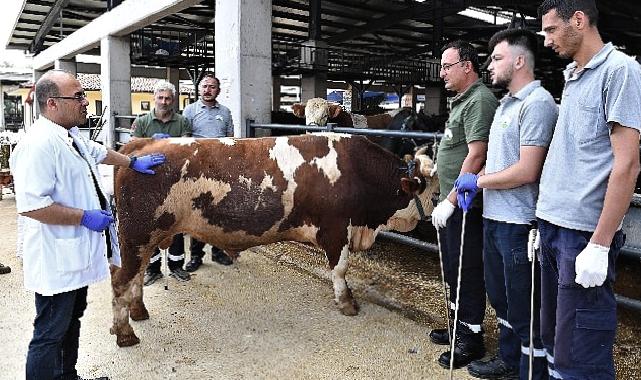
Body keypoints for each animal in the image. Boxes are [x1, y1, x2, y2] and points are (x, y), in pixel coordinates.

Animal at [111, 134, 440, 348]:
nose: (433, 224)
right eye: (432, 191)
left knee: (136, 276)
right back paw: (125, 333)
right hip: (136, 237)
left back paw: (139, 312)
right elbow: (340, 269)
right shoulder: (336, 229)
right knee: (121, 280)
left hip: (144, 239)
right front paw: (347, 302)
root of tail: (139, 145)